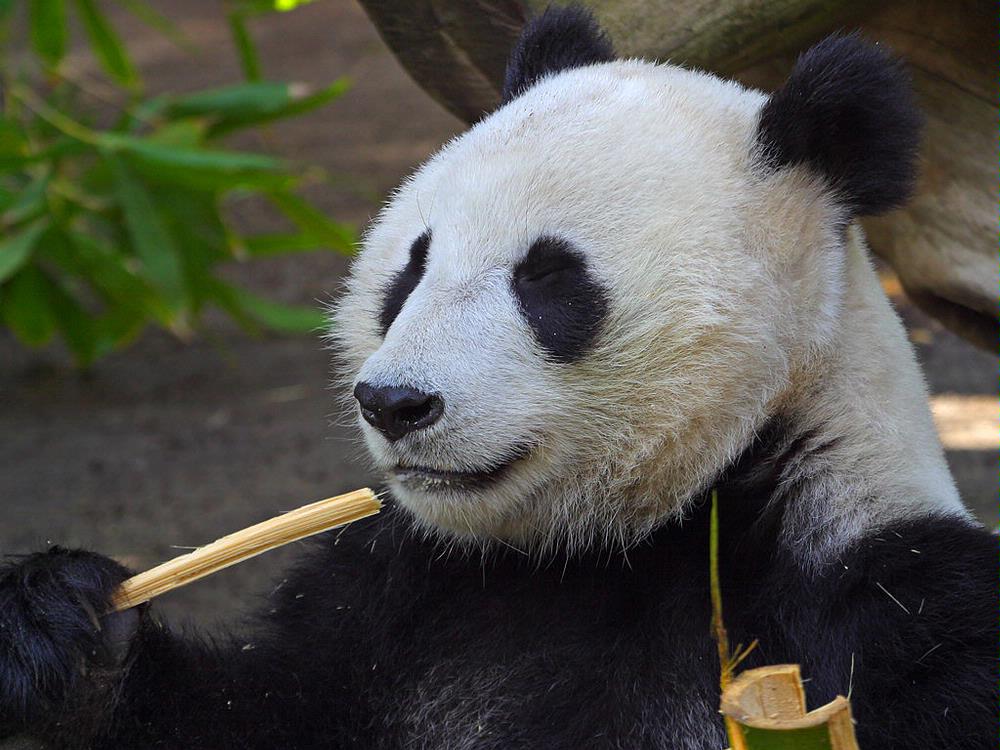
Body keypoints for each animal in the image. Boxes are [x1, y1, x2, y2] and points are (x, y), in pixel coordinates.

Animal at [1, 6, 996, 749]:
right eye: (412, 268)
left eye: (548, 280)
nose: (394, 403)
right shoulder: (401, 595)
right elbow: (267, 713)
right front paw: (61, 631)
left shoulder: (871, 608)